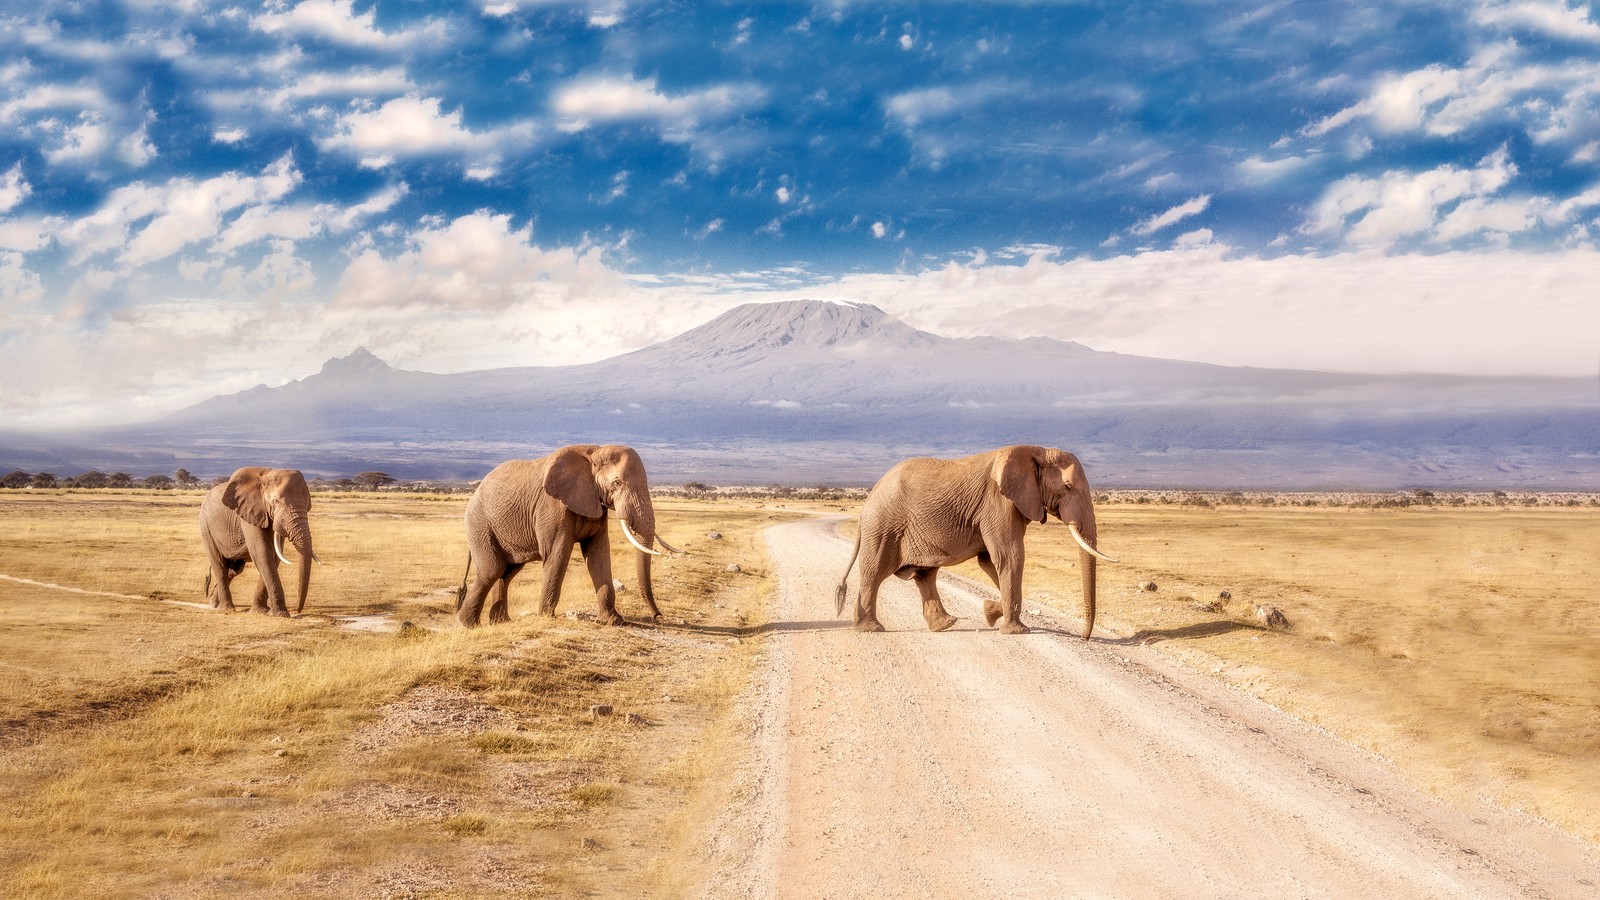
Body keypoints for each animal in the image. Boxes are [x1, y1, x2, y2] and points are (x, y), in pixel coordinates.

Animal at [199, 464, 321, 611]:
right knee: (219, 565)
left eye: (308, 505)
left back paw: (213, 602)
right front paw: (280, 613)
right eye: (275, 501)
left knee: (235, 569)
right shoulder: (249, 513)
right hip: (206, 526)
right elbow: (263, 553)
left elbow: (275, 556)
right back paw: (226, 608)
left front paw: (261, 610)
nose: (297, 610)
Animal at [451, 441, 681, 624]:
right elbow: (558, 554)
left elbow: (598, 554)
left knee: (506, 572)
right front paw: (546, 617)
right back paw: (468, 624)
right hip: (480, 524)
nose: (657, 616)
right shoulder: (552, 506)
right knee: (492, 570)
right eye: (617, 483)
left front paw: (613, 621)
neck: (594, 452)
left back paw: (500, 622)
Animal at [832, 445, 1120, 634]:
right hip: (883, 528)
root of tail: (869, 499)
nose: (1084, 637)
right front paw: (1017, 630)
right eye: (1068, 487)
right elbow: (1010, 555)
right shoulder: (998, 503)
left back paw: (945, 625)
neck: (1036, 450)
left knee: (924, 575)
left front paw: (990, 613)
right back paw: (871, 629)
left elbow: (991, 561)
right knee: (875, 573)